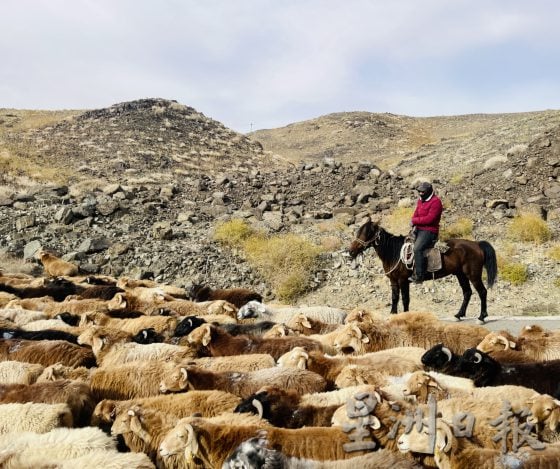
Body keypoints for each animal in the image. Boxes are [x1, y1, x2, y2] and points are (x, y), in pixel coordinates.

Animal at [350, 218, 498, 322]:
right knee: (467, 292)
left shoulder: (403, 280)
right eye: (358, 232)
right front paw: (392, 314)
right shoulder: (393, 280)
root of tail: (477, 244)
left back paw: (481, 317)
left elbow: (405, 299)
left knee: (482, 292)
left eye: (367, 233)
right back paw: (458, 315)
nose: (351, 251)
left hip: (473, 274)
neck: (394, 252)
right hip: (460, 274)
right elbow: (395, 297)